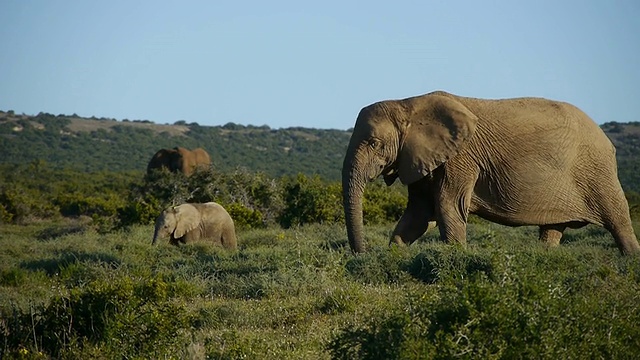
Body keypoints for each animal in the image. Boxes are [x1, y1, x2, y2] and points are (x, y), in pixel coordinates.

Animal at [344, 91, 640, 258]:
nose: (361, 256)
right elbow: (419, 215)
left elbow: (447, 207)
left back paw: (630, 261)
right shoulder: (419, 158)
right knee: (553, 229)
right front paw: (394, 257)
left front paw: (456, 258)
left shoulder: (462, 156)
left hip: (596, 171)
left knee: (619, 220)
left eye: (374, 143)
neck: (408, 103)